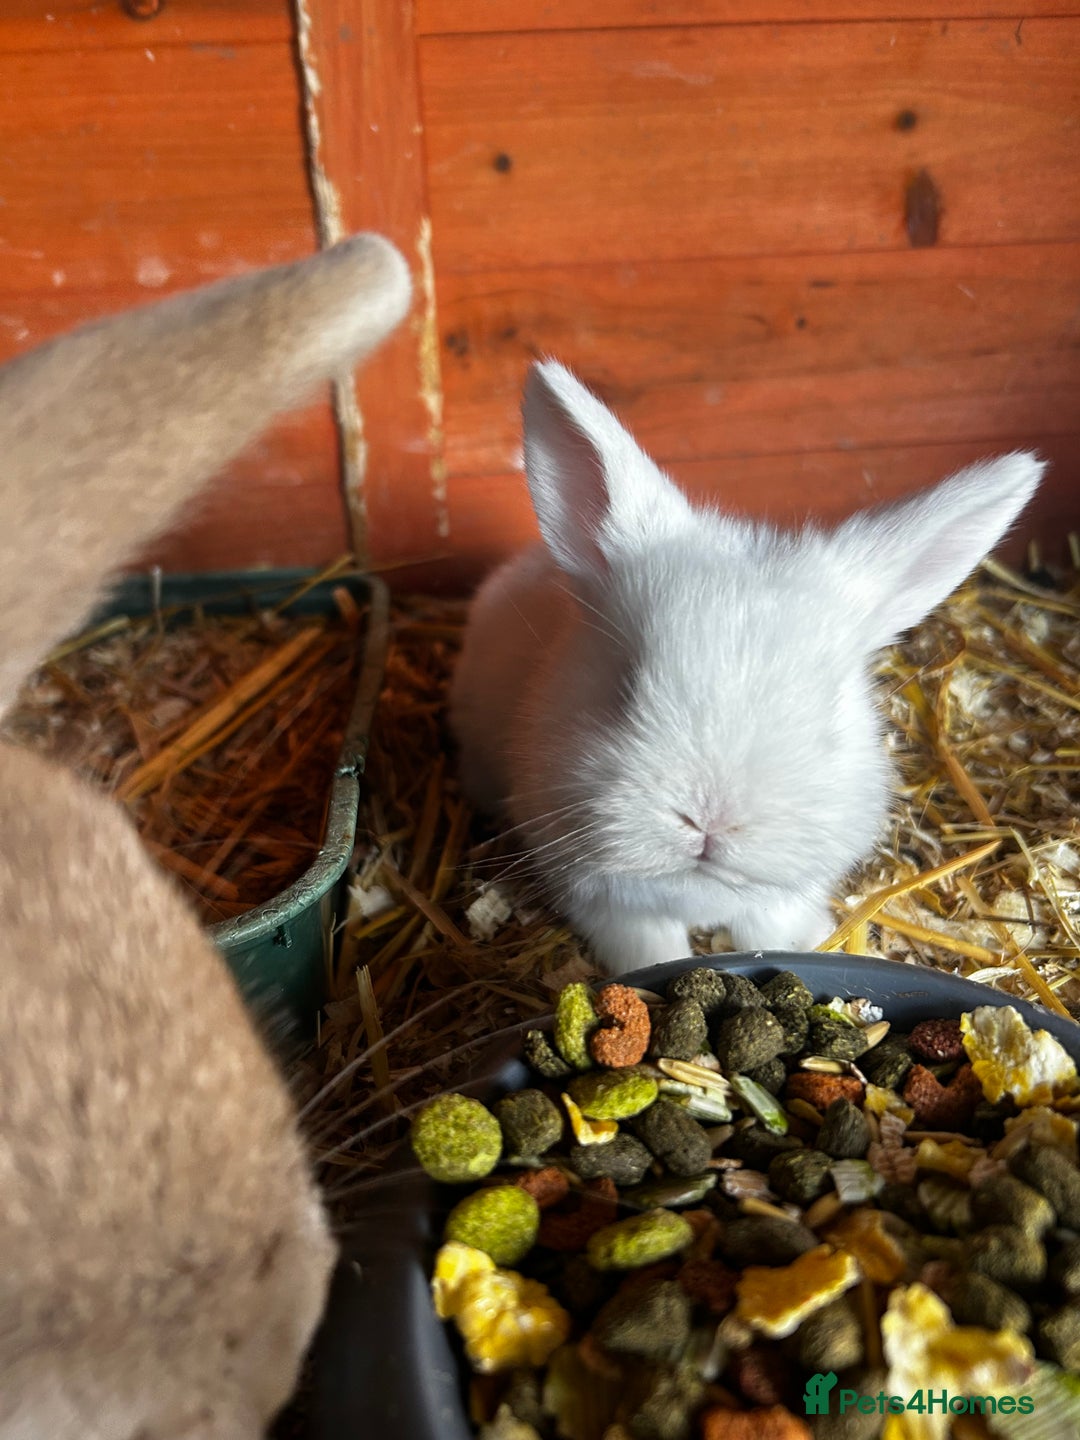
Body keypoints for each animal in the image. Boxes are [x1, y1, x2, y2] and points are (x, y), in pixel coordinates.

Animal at [450, 359, 1045, 976]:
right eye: (624, 687)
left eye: (825, 718)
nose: (708, 823)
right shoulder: (605, 901)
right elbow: (648, 950)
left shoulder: (778, 901)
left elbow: (771, 930)